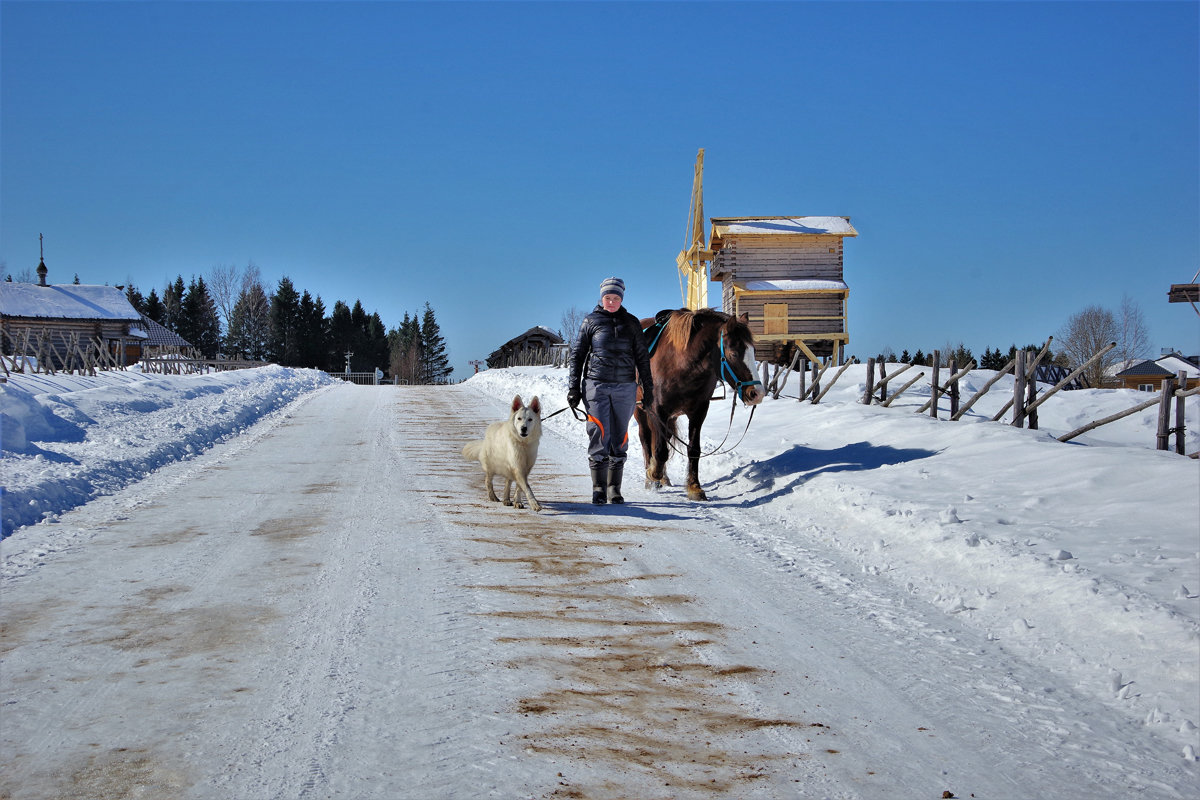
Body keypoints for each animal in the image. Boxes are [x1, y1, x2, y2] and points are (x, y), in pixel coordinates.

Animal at [633, 309, 763, 501]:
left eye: (753, 351)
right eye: (733, 353)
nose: (757, 393)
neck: (680, 364)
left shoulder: (699, 411)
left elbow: (693, 450)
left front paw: (694, 487)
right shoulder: (658, 410)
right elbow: (661, 450)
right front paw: (652, 473)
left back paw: (663, 477)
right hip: (640, 412)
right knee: (646, 439)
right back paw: (652, 478)